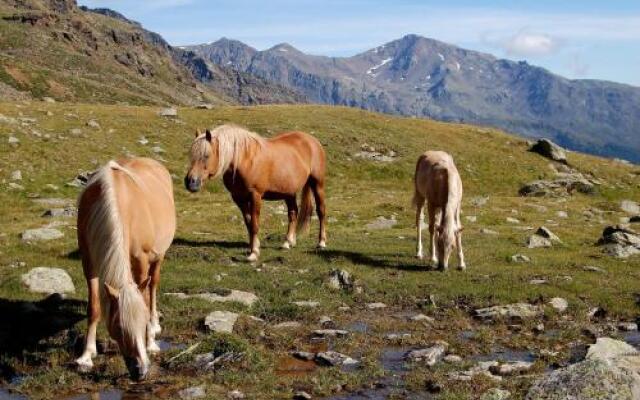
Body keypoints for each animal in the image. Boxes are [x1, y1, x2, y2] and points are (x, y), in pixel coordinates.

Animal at [74, 158, 175, 380]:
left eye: (142, 323)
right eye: (118, 327)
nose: (140, 371)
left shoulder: (142, 261)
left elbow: (145, 298)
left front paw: (151, 342)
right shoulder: (88, 261)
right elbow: (94, 308)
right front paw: (86, 356)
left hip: (158, 256)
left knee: (153, 286)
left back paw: (155, 325)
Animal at [184, 125, 324, 262]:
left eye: (206, 155)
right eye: (191, 156)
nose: (190, 182)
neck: (244, 160)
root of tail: (312, 140)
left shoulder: (255, 196)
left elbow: (255, 224)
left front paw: (254, 253)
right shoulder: (238, 198)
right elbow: (249, 223)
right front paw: (252, 248)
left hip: (317, 184)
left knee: (321, 211)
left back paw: (321, 243)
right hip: (289, 192)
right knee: (293, 213)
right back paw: (288, 242)